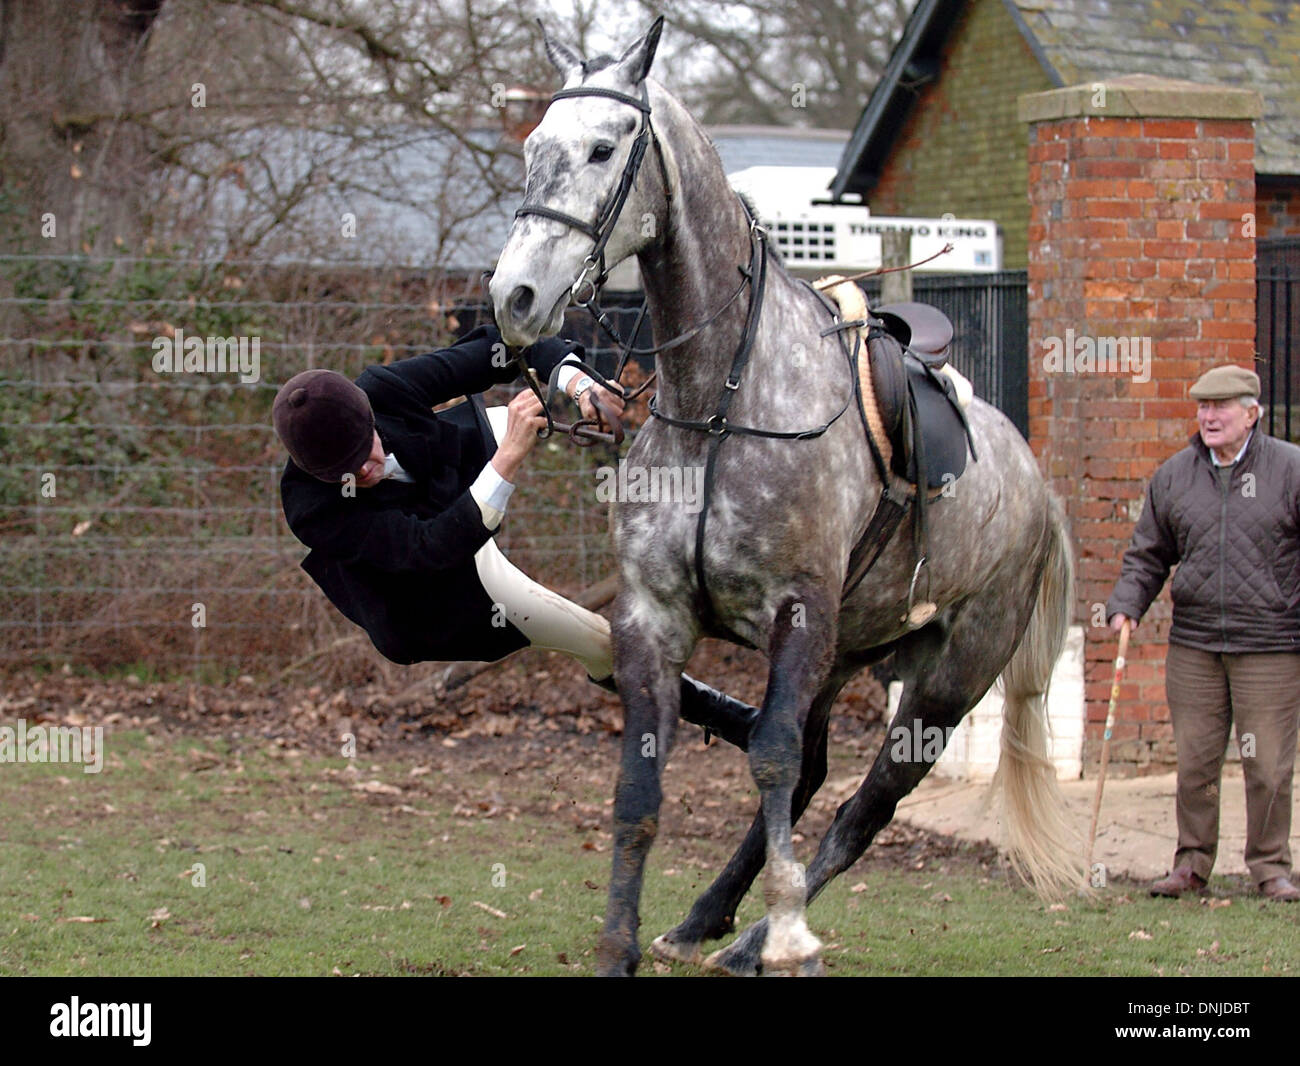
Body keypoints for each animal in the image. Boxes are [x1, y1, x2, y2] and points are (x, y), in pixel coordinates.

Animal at [489, 17, 1081, 977]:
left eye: (604, 147)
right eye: (535, 147)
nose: (515, 297)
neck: (719, 405)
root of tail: (1036, 487)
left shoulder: (798, 616)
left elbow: (766, 761)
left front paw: (792, 929)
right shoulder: (655, 619)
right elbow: (641, 788)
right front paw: (619, 946)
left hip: (946, 684)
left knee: (864, 807)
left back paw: (765, 932)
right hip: (845, 655)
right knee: (812, 774)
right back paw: (711, 920)